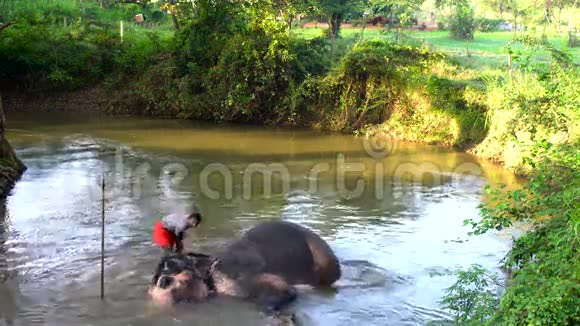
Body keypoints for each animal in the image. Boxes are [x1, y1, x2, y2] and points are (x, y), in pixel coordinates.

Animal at [147, 220, 342, 312]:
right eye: (156, 279)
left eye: (169, 267)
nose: (162, 281)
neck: (211, 271)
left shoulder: (239, 278)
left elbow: (280, 291)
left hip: (322, 257)